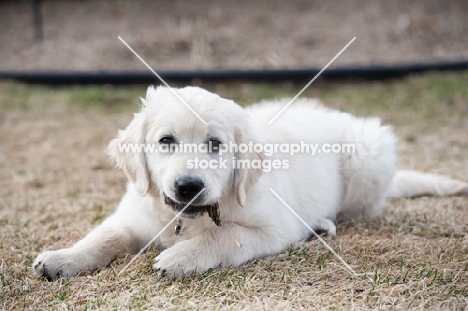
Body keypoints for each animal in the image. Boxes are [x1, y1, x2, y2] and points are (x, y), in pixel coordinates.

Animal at [33, 86, 468, 282]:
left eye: (215, 144)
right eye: (166, 141)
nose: (188, 186)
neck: (188, 219)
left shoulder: (272, 227)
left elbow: (226, 236)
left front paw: (180, 256)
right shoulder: (135, 214)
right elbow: (104, 235)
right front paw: (62, 258)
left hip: (367, 155)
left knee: (357, 211)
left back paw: (321, 224)